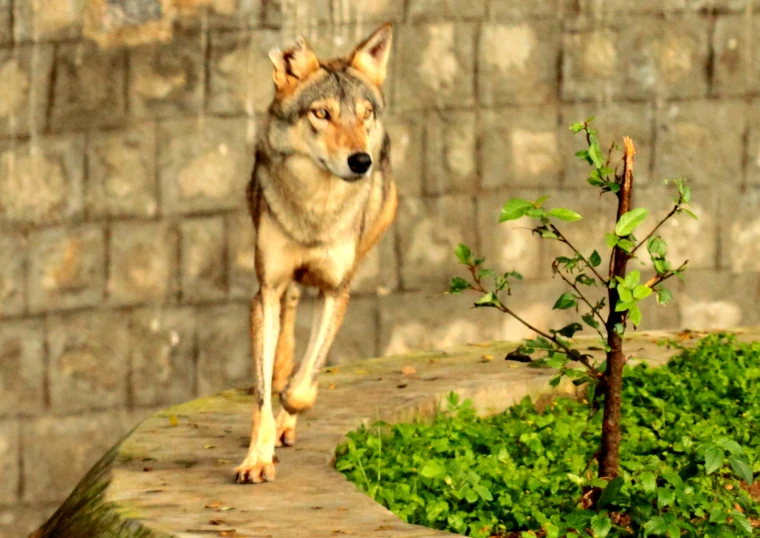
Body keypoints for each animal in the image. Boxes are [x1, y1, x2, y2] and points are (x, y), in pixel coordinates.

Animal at [235, 23, 394, 482]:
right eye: (321, 114)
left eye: (364, 113)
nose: (361, 161)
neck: (315, 211)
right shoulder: (265, 290)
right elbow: (263, 394)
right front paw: (257, 458)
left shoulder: (336, 291)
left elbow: (303, 388)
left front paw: (287, 414)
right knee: (286, 322)